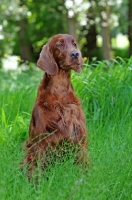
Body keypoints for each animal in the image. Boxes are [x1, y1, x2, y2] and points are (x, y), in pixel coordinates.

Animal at [23, 34, 87, 178]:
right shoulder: (40, 141)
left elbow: (83, 163)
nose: (76, 54)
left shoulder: (79, 136)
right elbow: (37, 168)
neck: (60, 92)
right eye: (59, 44)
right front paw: (36, 183)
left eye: (74, 44)